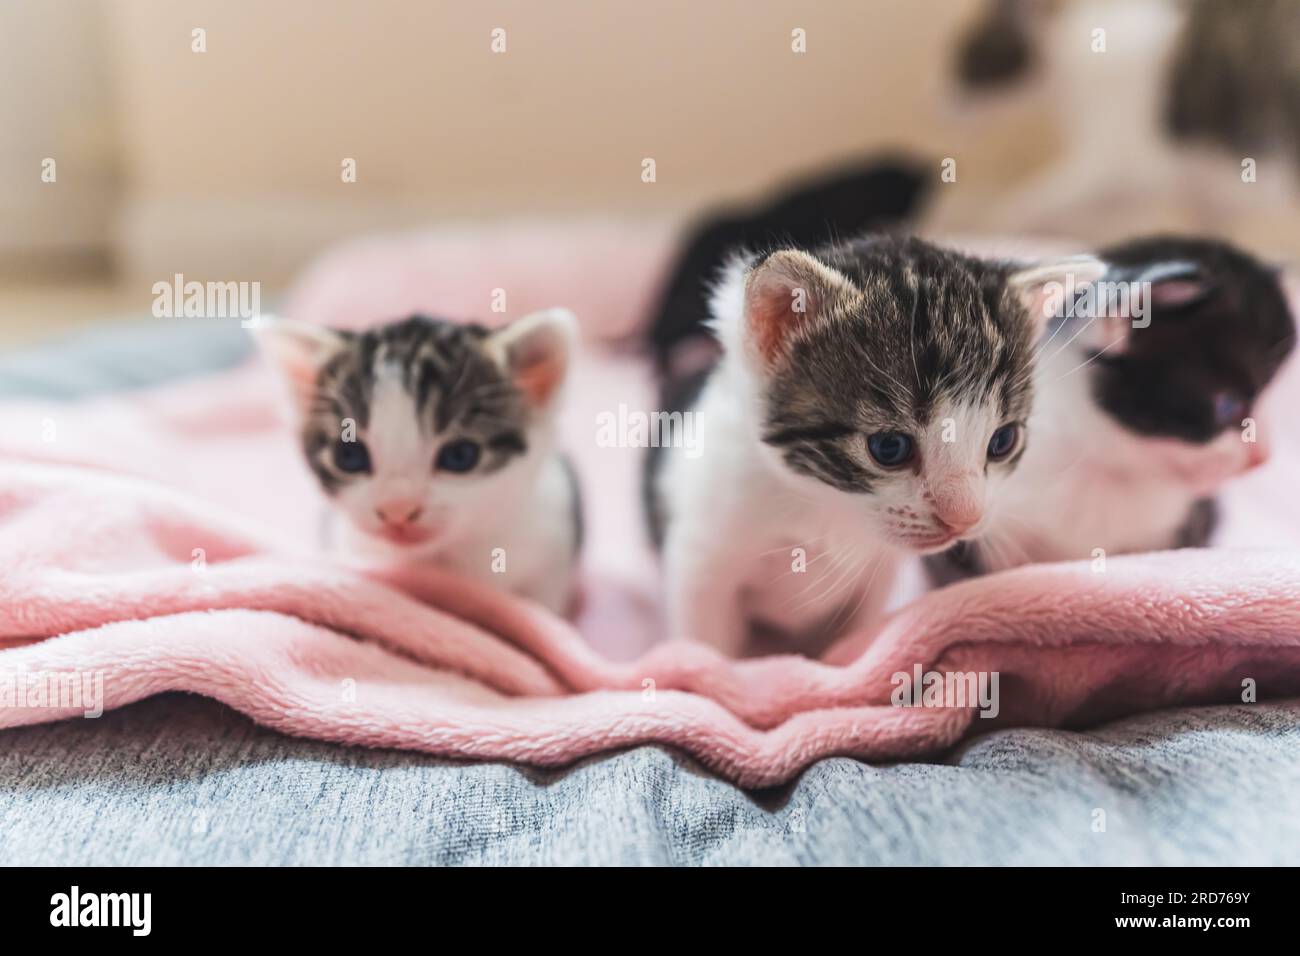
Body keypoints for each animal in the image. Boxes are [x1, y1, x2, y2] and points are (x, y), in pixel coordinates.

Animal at [644, 234, 1102, 655]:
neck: (825, 504)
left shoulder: (881, 569)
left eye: (1002, 442)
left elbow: (861, 624)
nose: (964, 520)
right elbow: (706, 642)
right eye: (889, 448)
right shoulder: (701, 559)